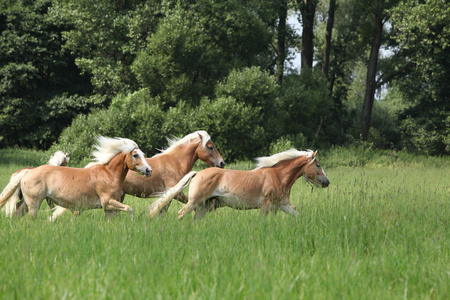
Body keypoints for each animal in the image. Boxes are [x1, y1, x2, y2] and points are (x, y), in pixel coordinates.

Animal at [0, 136, 152, 218]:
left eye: (143, 154)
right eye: (135, 155)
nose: (149, 170)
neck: (108, 175)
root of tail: (27, 172)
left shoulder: (109, 209)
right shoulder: (108, 202)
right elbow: (129, 209)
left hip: (26, 204)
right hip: (34, 203)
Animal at [149, 149, 328, 219]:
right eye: (318, 165)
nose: (327, 182)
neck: (278, 176)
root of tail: (198, 173)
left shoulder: (282, 205)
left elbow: (298, 215)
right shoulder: (266, 205)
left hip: (205, 206)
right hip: (195, 202)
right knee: (181, 214)